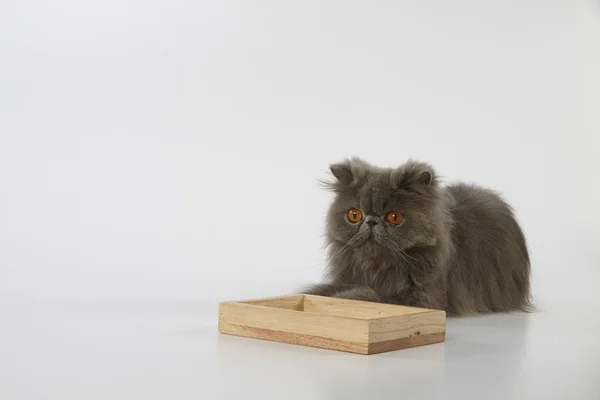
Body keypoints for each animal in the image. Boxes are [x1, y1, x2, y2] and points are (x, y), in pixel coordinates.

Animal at [302, 157, 532, 316]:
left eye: (394, 217)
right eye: (354, 215)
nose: (371, 221)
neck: (379, 269)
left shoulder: (423, 298)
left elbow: (368, 297)